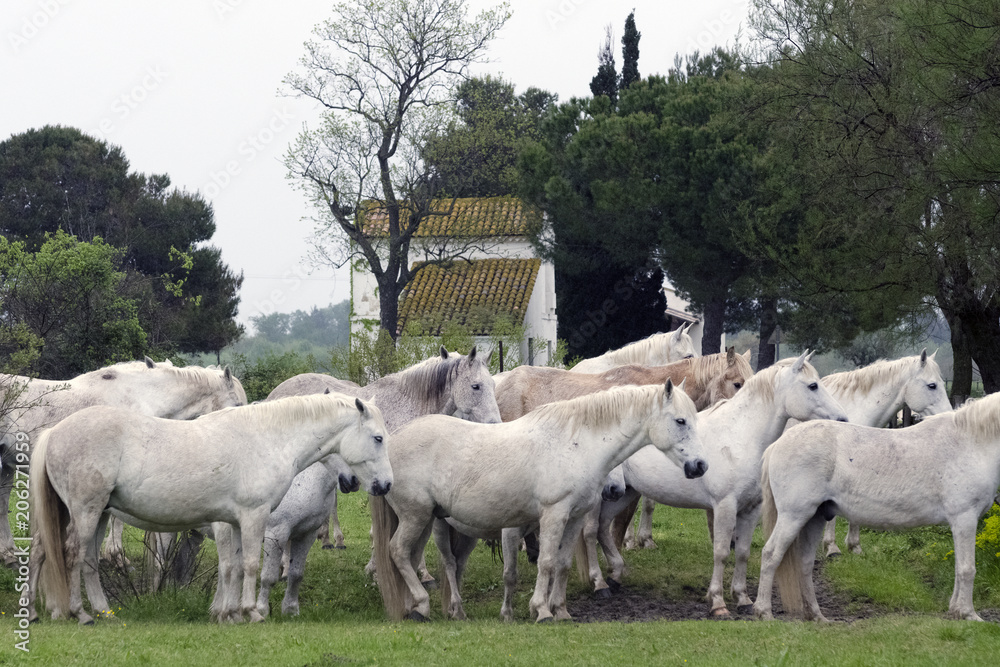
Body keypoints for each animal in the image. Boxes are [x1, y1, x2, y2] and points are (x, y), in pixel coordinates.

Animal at [28, 393, 392, 625]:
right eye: (378, 438)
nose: (385, 485)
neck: (268, 439)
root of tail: (55, 431)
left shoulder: (234, 522)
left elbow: (233, 567)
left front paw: (230, 613)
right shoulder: (256, 518)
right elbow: (250, 566)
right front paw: (252, 612)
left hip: (97, 514)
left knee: (69, 557)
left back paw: (78, 613)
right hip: (85, 513)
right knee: (72, 555)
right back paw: (80, 614)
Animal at [372, 380, 707, 623]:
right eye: (680, 421)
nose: (700, 466)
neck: (575, 443)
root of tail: (394, 440)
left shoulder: (574, 518)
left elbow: (562, 565)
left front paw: (561, 610)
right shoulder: (553, 515)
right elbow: (545, 563)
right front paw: (542, 611)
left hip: (431, 521)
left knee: (420, 558)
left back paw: (435, 610)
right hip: (418, 518)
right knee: (401, 552)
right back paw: (422, 606)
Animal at [588, 352, 849, 616]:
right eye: (813, 385)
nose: (843, 419)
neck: (739, 438)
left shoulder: (751, 509)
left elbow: (742, 553)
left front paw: (743, 598)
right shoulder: (725, 507)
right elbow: (722, 553)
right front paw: (718, 603)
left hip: (624, 494)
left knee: (603, 527)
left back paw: (615, 575)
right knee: (591, 531)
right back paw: (599, 584)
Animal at [753, 392, 1000, 622]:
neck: (969, 443)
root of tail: (777, 445)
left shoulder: (960, 523)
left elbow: (959, 568)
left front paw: (956, 610)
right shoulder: (965, 518)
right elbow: (967, 569)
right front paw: (969, 614)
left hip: (816, 517)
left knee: (805, 563)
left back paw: (817, 616)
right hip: (793, 516)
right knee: (771, 554)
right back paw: (764, 612)